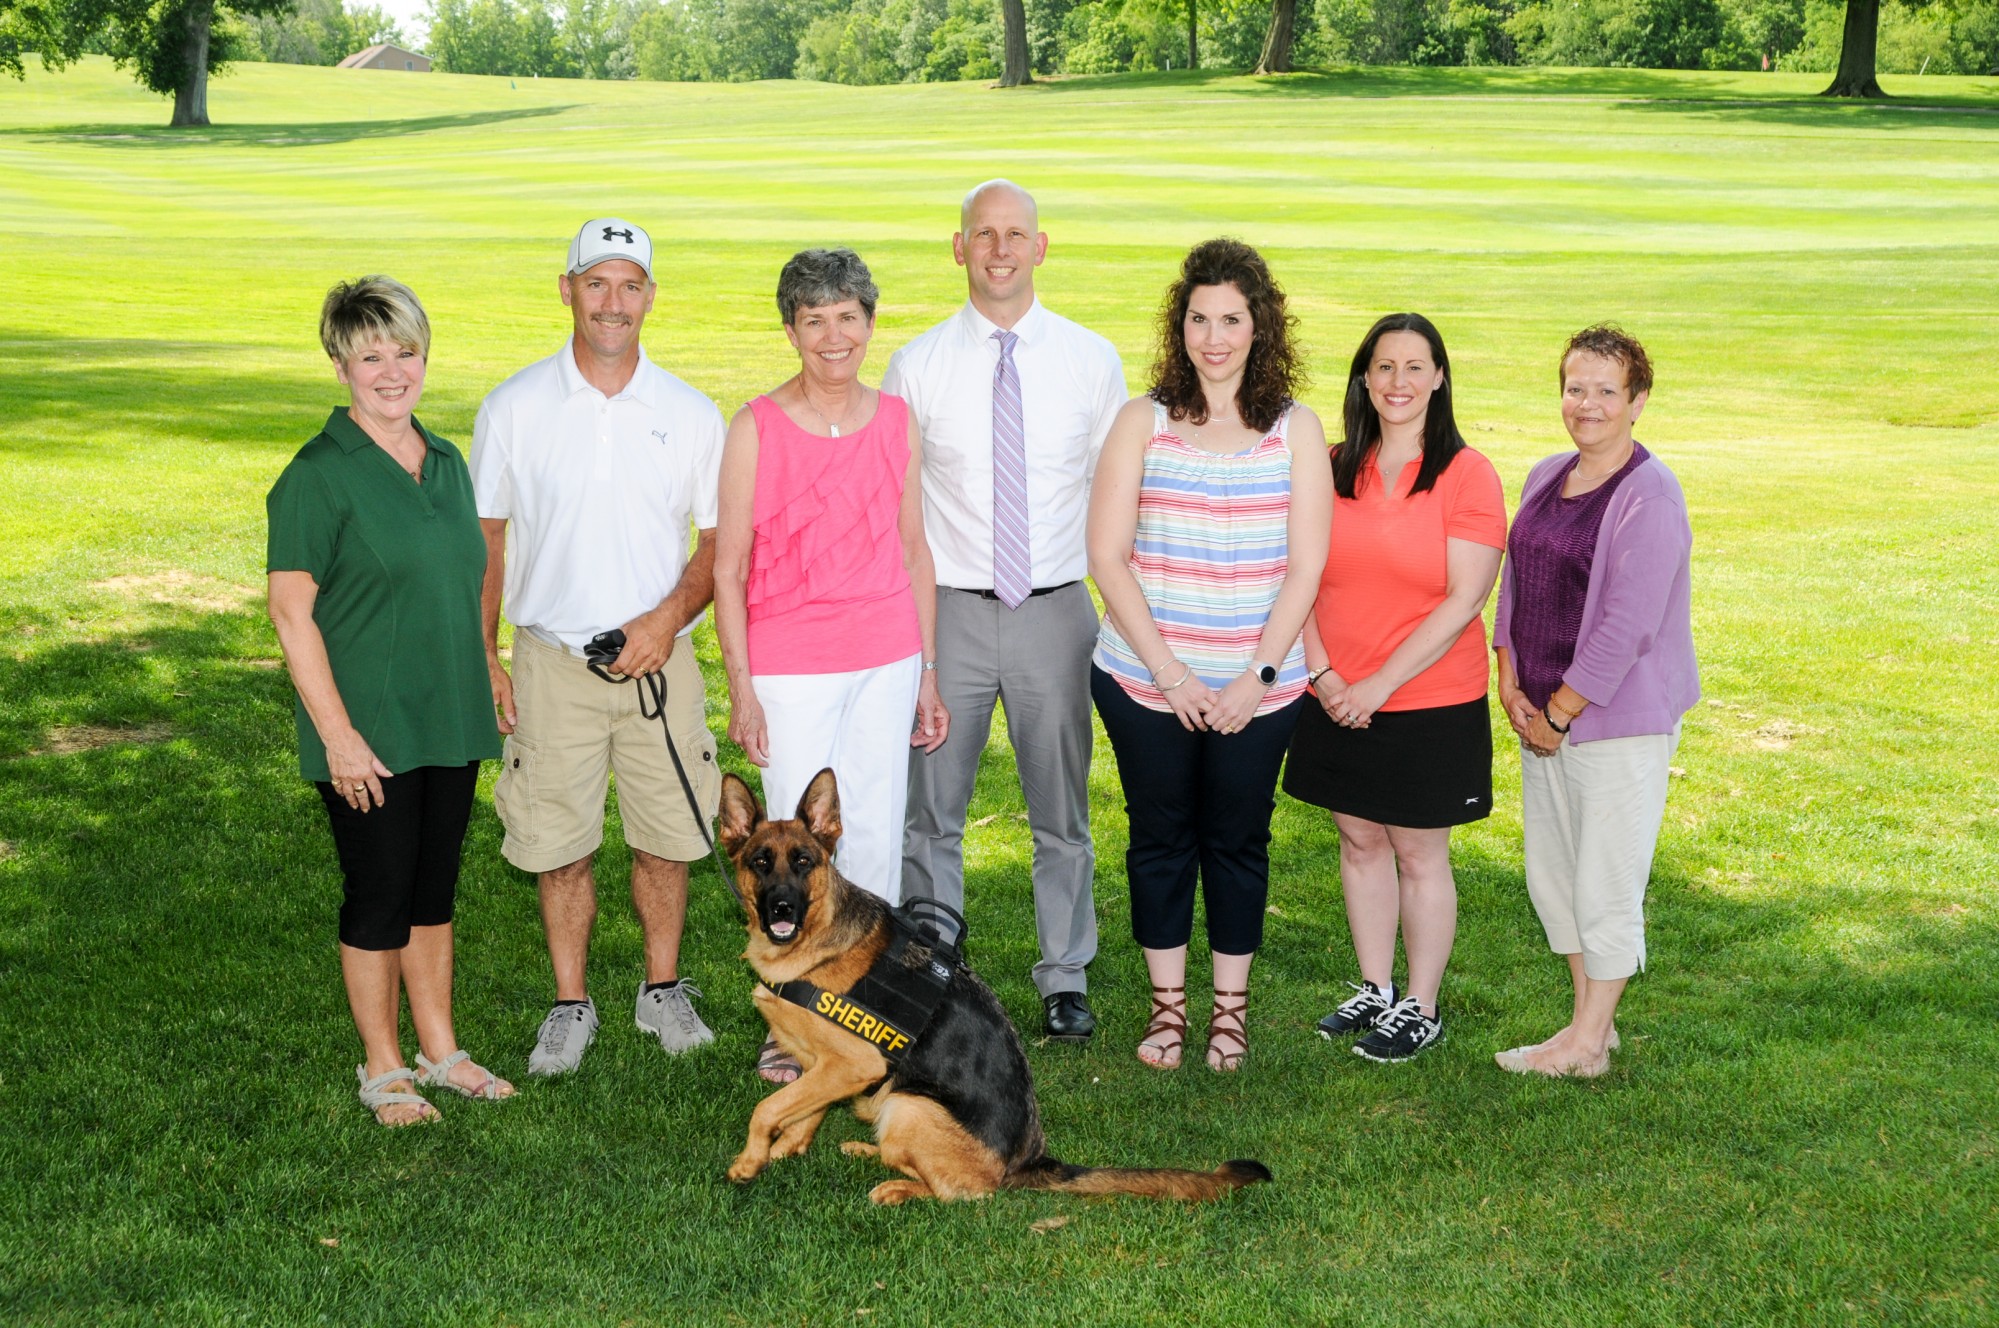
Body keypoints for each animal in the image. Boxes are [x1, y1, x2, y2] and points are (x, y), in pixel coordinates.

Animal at [723, 768, 1263, 1200]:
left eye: (804, 862)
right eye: (760, 862)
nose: (782, 909)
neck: (816, 943)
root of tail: (1027, 1162)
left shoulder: (856, 1064)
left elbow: (767, 1107)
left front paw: (750, 1160)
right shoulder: (823, 1068)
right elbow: (802, 1109)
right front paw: (785, 1149)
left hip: (907, 1104)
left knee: (962, 1191)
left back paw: (897, 1186)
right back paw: (866, 1149)